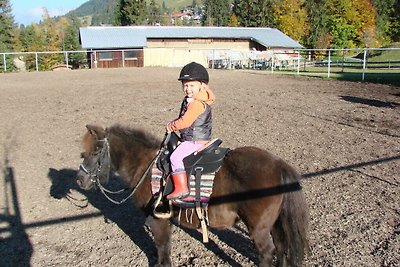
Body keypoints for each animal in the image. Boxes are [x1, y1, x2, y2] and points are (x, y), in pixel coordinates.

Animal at [76, 124, 310, 266]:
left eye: (95, 153)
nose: (80, 180)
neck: (144, 165)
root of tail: (279, 165)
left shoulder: (156, 219)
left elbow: (162, 247)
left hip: (259, 229)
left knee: (267, 252)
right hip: (275, 224)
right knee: (281, 247)